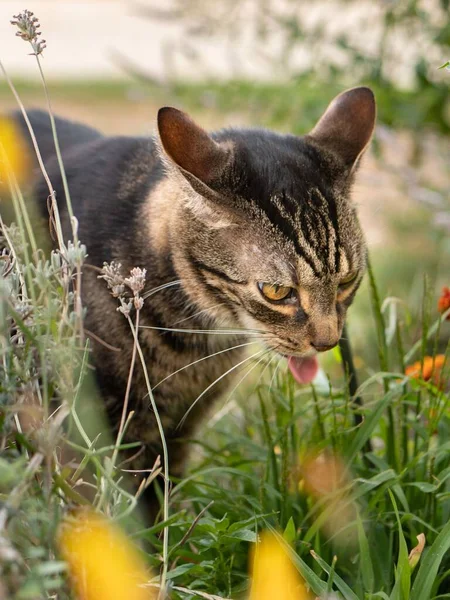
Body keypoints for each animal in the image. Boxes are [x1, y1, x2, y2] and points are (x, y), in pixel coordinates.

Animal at [12, 88, 374, 510]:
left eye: (346, 280)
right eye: (276, 292)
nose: (327, 342)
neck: (196, 343)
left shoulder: (182, 424)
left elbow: (163, 491)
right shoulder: (102, 421)